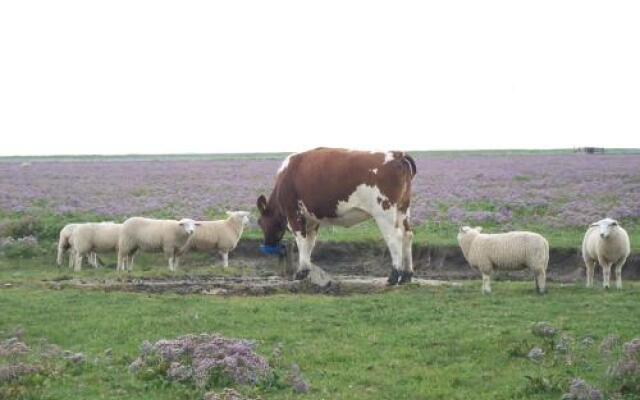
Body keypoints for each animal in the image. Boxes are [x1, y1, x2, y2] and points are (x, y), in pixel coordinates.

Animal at [258, 147, 418, 284]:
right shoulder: (312, 219)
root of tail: (397, 154)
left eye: (260, 222)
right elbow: (309, 243)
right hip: (403, 209)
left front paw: (300, 273)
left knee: (394, 238)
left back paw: (394, 276)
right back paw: (407, 275)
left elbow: (302, 242)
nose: (267, 243)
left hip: (384, 212)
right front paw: (306, 270)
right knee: (407, 235)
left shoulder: (293, 214)